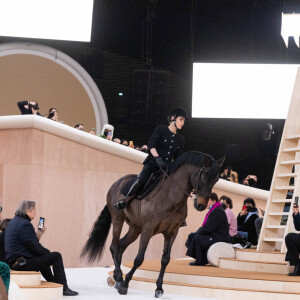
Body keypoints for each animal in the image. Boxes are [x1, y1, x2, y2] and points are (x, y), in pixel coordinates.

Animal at [81, 152, 224, 298]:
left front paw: (159, 288)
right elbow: (139, 259)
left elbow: (165, 259)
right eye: (205, 175)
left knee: (121, 245)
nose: (201, 205)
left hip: (135, 228)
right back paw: (120, 278)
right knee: (114, 246)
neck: (171, 197)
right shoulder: (148, 230)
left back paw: (116, 278)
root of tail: (117, 182)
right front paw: (126, 284)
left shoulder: (172, 232)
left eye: (216, 179)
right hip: (118, 219)